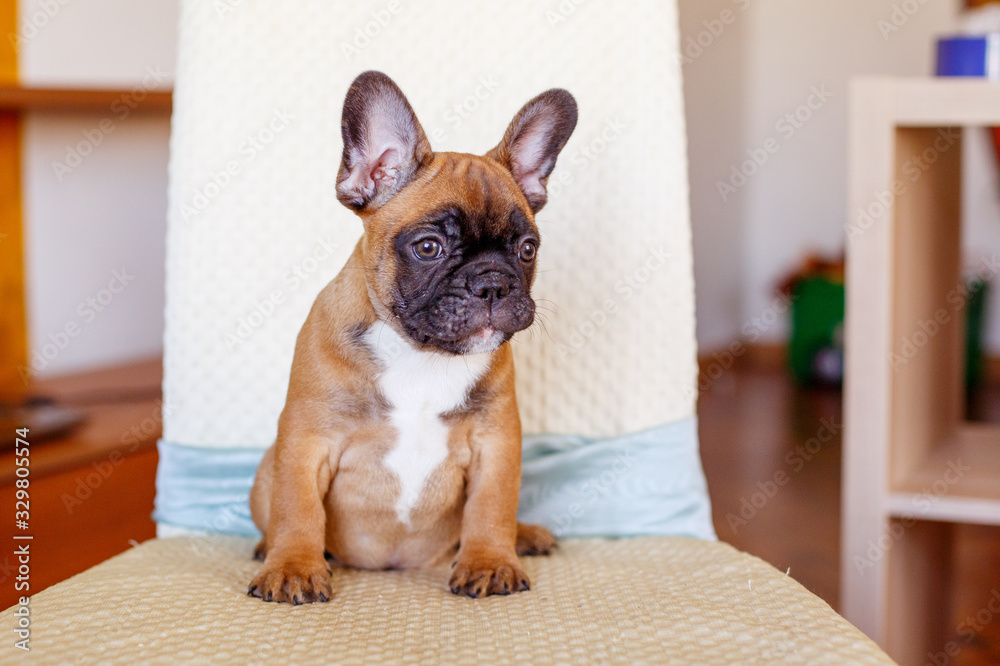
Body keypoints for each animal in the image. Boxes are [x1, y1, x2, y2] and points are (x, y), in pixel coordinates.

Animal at [248, 71, 580, 600]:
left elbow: (491, 507)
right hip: (266, 468)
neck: (421, 353)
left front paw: (491, 560)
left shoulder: (497, 442)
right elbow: (297, 507)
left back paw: (524, 535)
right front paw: (293, 567)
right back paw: (269, 549)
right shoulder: (306, 440)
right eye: (428, 247)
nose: (493, 282)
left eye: (527, 249)